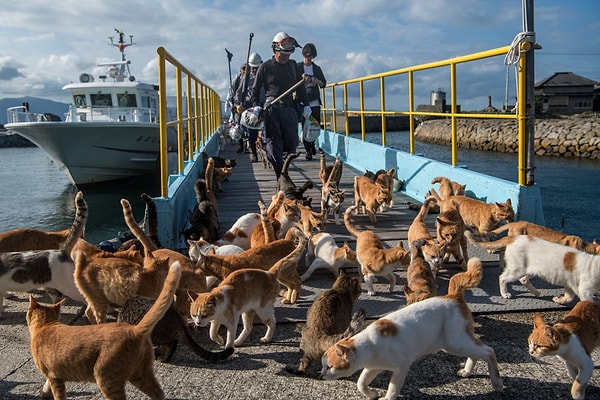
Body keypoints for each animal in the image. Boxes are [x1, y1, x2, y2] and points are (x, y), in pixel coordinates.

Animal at [27, 260, 180, 400]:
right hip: (140, 375)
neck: (47, 325)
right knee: (158, 393)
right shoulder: (54, 376)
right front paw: (44, 393)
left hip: (106, 378)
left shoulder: (55, 378)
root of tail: (135, 329)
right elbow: (46, 386)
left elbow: (58, 395)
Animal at [322, 256, 504, 400]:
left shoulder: (401, 366)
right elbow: (361, 383)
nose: (321, 374)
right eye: (323, 366)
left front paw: (386, 398)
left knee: (489, 351)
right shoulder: (374, 367)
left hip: (455, 342)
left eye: (330, 366)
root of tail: (452, 295)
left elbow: (393, 388)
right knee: (476, 352)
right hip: (457, 342)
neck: (370, 345)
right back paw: (467, 371)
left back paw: (496, 382)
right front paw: (372, 394)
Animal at [464, 230, 600, 304]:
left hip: (531, 270)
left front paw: (559, 300)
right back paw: (505, 294)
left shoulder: (570, 285)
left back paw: (536, 292)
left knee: (523, 279)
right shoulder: (584, 291)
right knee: (502, 277)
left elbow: (569, 297)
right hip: (517, 269)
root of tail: (513, 237)